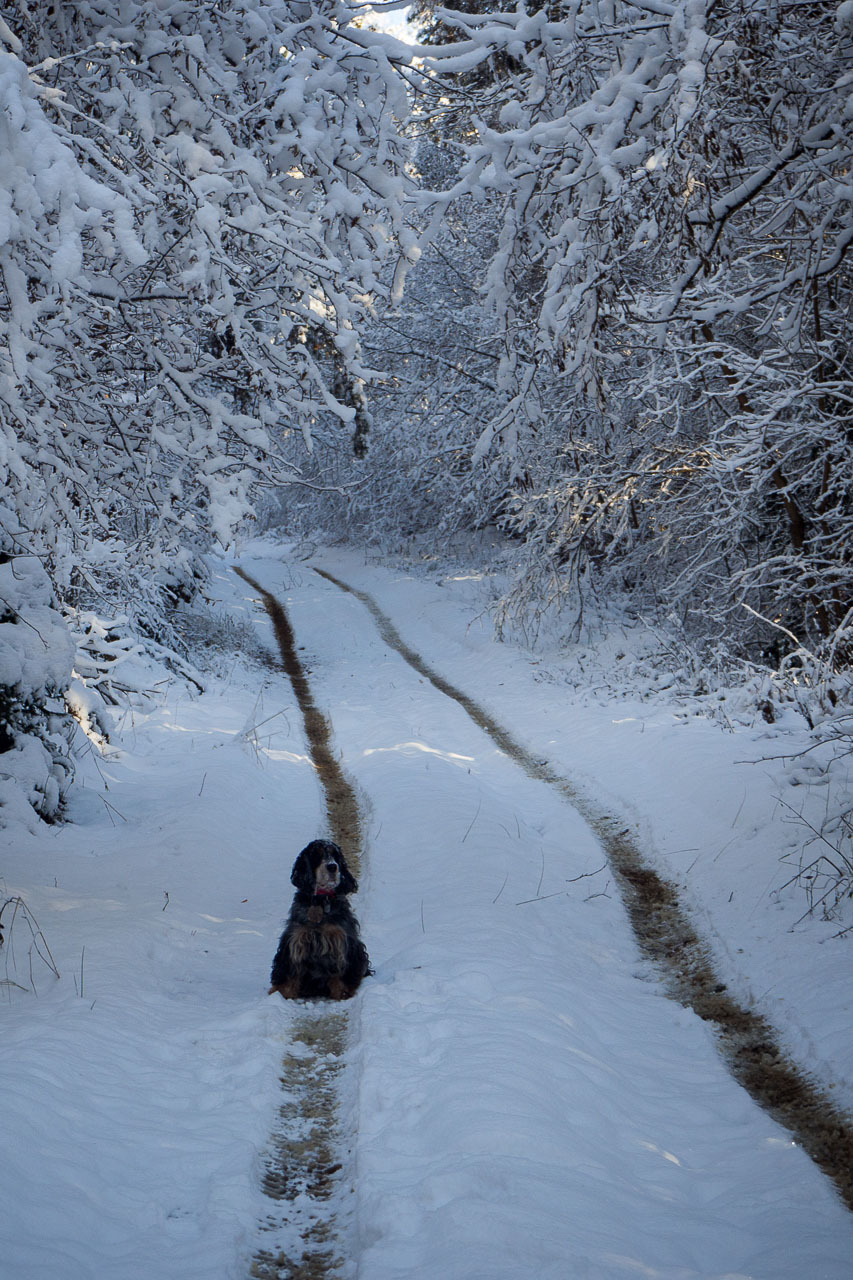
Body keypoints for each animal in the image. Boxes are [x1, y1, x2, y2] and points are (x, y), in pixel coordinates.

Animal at [268, 834, 368, 1003]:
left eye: (335, 855)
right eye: (317, 855)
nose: (332, 867)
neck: (321, 900)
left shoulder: (341, 942)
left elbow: (340, 978)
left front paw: (342, 996)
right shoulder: (295, 940)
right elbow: (289, 977)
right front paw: (282, 995)